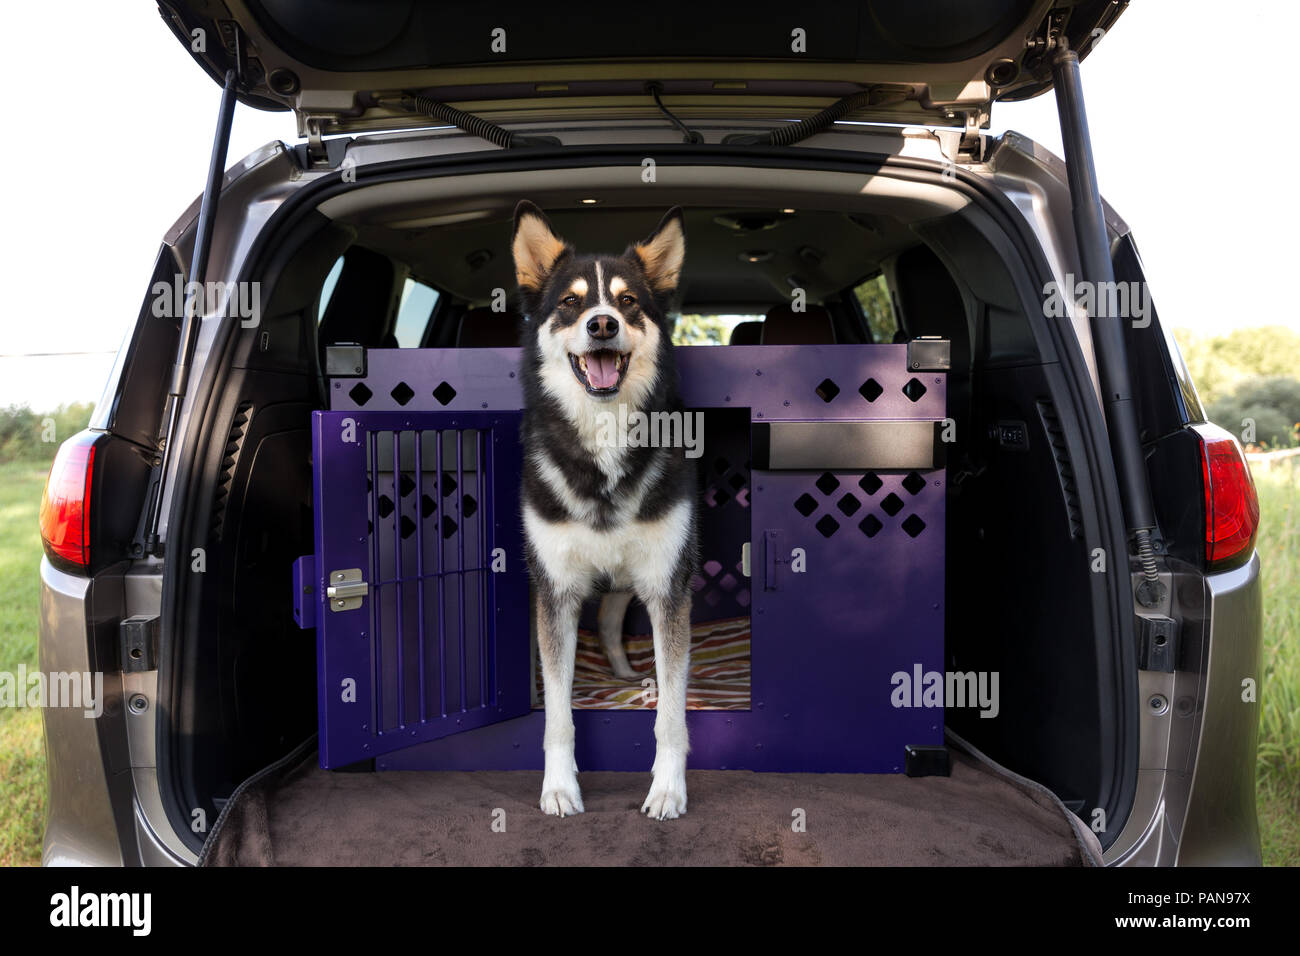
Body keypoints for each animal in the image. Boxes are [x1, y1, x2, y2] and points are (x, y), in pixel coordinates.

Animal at [509, 201, 702, 822]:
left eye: (628, 301)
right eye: (571, 303)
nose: (602, 325)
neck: (605, 437)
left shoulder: (668, 585)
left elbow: (671, 712)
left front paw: (667, 789)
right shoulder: (554, 590)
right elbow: (558, 714)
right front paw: (559, 787)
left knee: (615, 624)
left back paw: (623, 672)